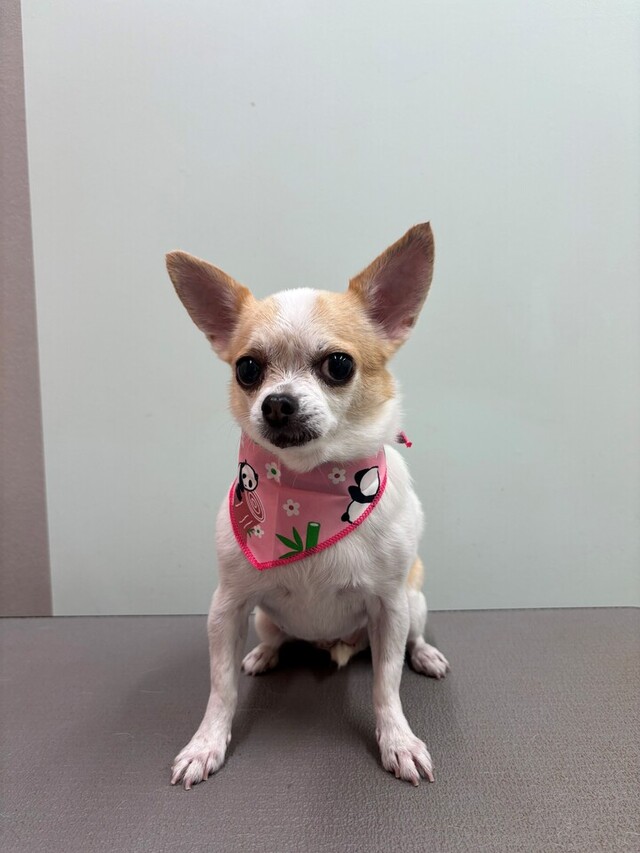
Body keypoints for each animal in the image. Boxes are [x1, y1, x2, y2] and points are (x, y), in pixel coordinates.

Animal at [166, 223, 450, 789]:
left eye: (338, 365)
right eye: (247, 369)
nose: (277, 402)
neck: (313, 487)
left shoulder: (389, 606)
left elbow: (386, 686)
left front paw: (399, 741)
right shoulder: (226, 608)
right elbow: (220, 688)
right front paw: (206, 744)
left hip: (413, 603)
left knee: (410, 642)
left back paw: (425, 654)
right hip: (260, 617)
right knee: (274, 638)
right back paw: (263, 654)